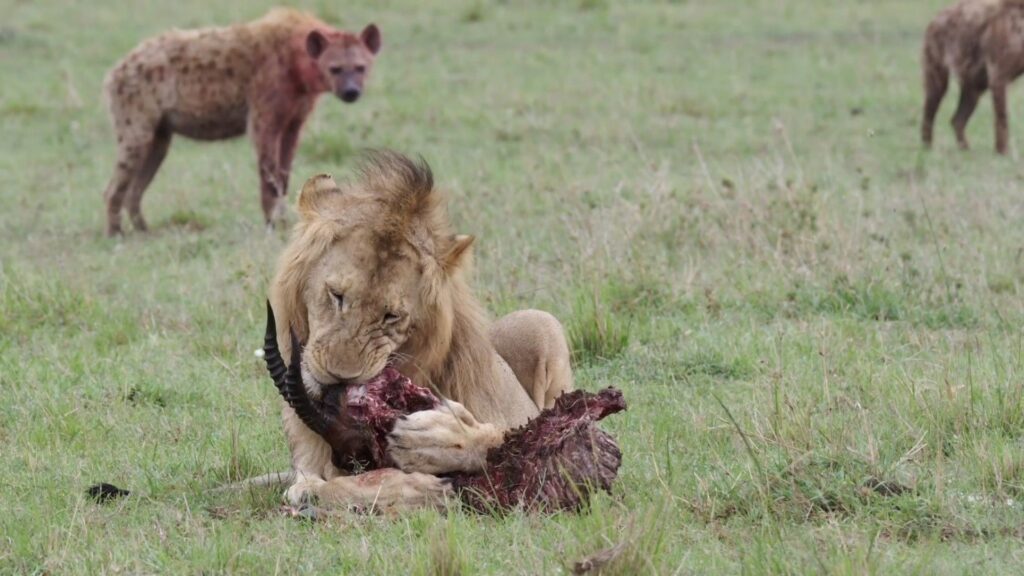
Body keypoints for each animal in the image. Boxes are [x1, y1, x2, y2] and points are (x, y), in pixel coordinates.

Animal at [266, 148, 577, 506]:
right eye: (337, 295)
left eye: (391, 316)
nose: (340, 380)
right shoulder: (307, 467)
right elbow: (316, 487)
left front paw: (436, 441)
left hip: (540, 321)